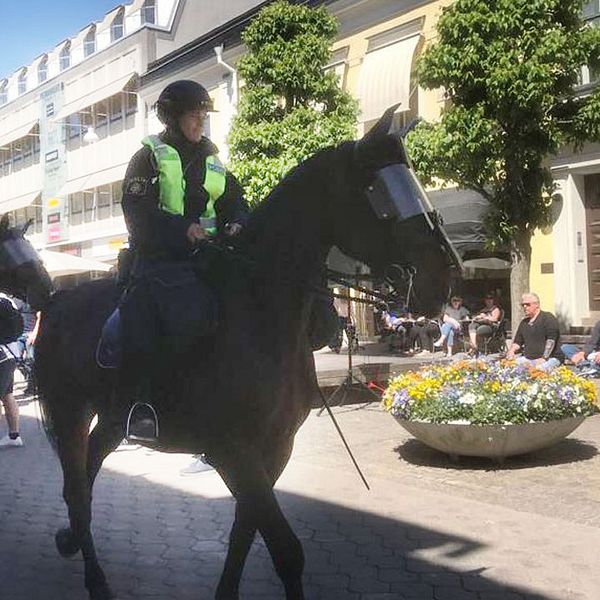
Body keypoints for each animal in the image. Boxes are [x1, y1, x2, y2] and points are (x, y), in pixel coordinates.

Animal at [0, 109, 458, 600]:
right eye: (381, 194)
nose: (444, 275)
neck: (257, 311)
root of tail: (54, 302)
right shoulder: (232, 451)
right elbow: (285, 548)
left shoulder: (275, 449)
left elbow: (245, 531)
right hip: (70, 411)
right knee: (77, 492)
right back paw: (95, 579)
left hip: (110, 417)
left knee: (86, 474)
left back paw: (70, 541)